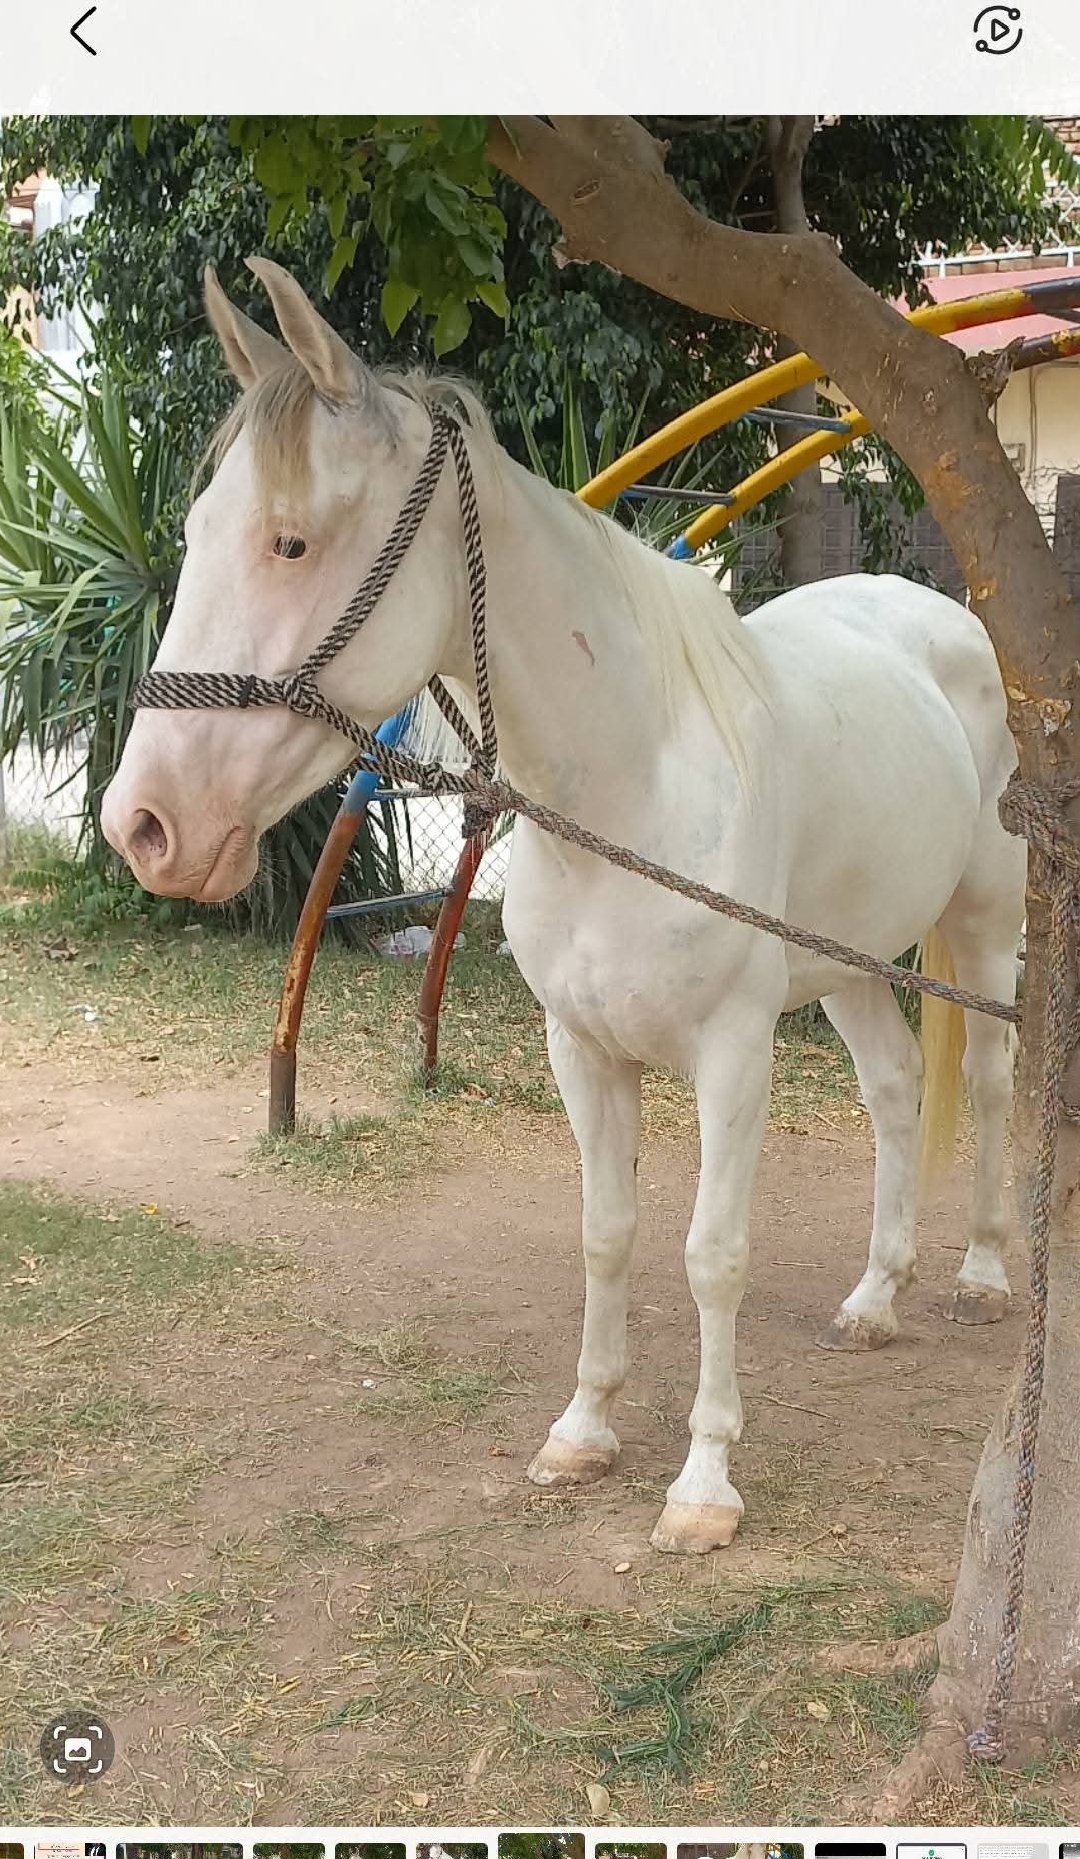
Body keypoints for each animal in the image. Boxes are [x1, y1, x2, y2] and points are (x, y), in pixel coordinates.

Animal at [101, 256, 1026, 1557]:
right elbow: (608, 1231)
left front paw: (703, 1484)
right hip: (845, 962)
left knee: (987, 1084)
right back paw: (874, 1296)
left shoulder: (733, 1055)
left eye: (291, 541)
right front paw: (583, 1431)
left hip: (985, 931)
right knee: (896, 1090)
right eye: (191, 535)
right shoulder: (581, 1048)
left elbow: (711, 1254)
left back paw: (983, 1274)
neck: (631, 780)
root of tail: (940, 613)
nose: (145, 824)